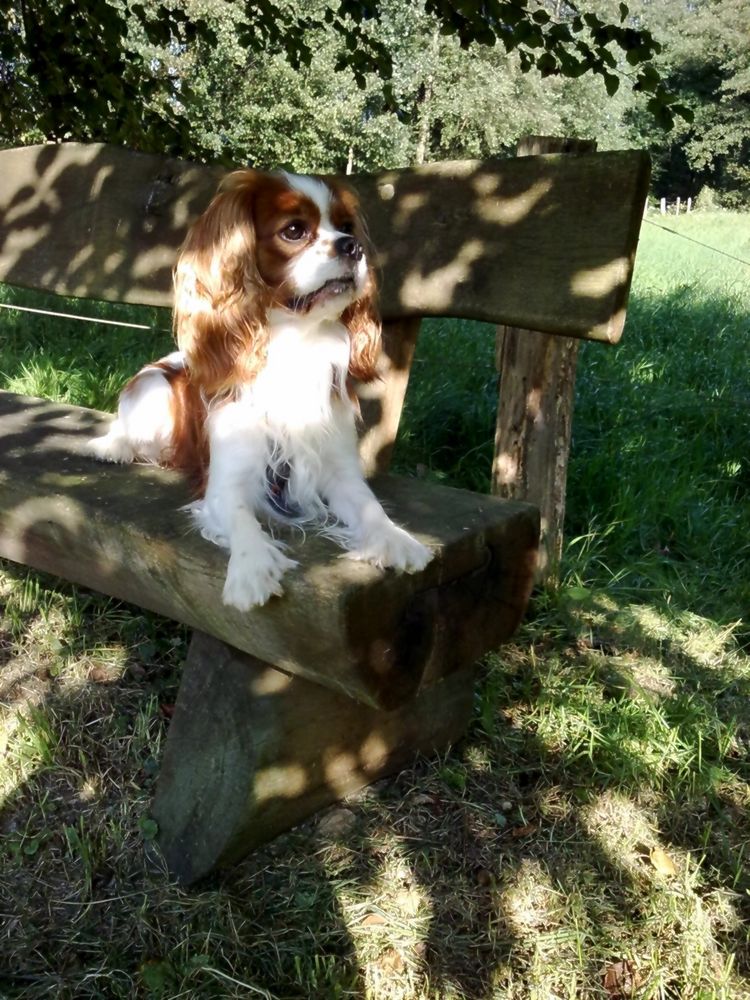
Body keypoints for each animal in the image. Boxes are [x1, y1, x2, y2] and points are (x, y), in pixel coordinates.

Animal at [86, 167, 432, 604]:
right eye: (294, 230)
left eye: (347, 227)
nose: (352, 247)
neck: (295, 343)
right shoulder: (225, 483)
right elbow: (242, 520)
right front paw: (251, 570)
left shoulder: (339, 468)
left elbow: (371, 507)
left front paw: (396, 540)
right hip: (153, 394)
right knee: (126, 432)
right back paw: (110, 447)